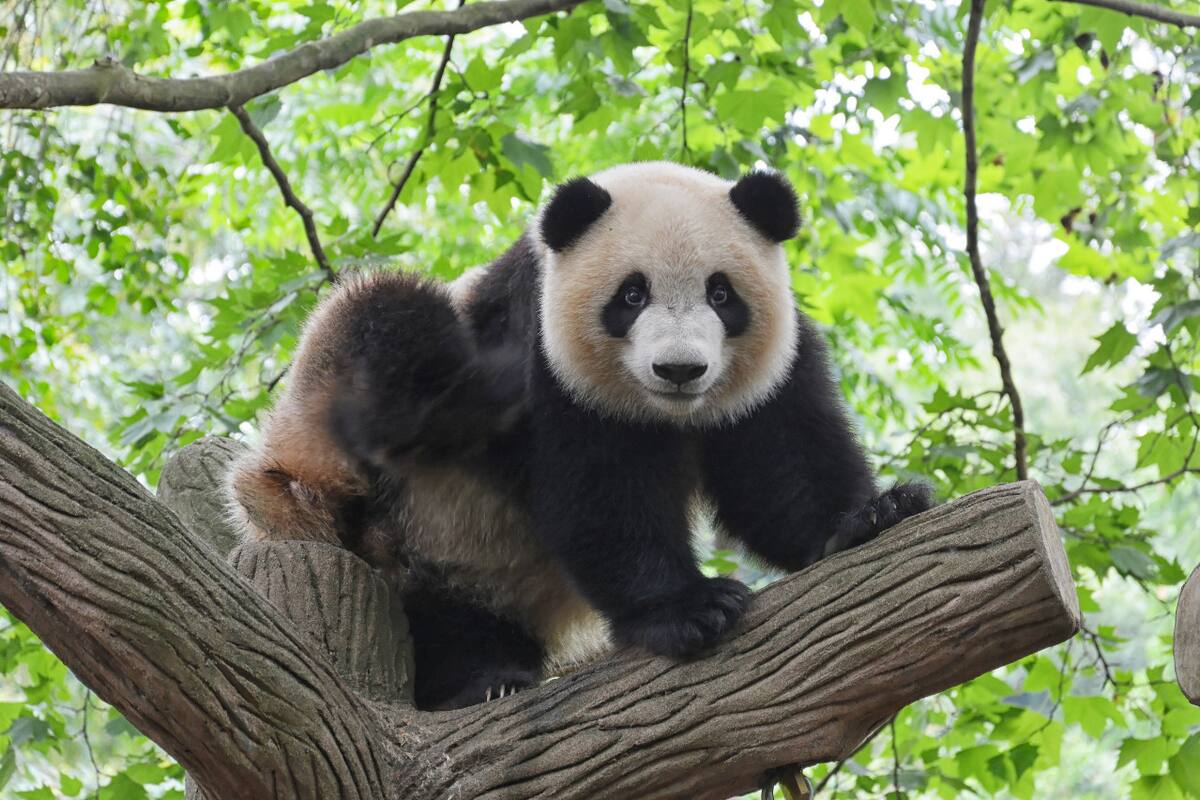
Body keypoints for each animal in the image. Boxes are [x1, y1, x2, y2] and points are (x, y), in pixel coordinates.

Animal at [227, 161, 934, 711]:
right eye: (631, 295)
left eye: (721, 294)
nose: (680, 369)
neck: (666, 414)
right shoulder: (546, 362)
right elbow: (599, 494)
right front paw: (690, 608)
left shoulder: (770, 371)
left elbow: (780, 468)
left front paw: (872, 515)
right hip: (348, 467)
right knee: (385, 316)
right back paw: (477, 684)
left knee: (455, 617)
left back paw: (487, 672)